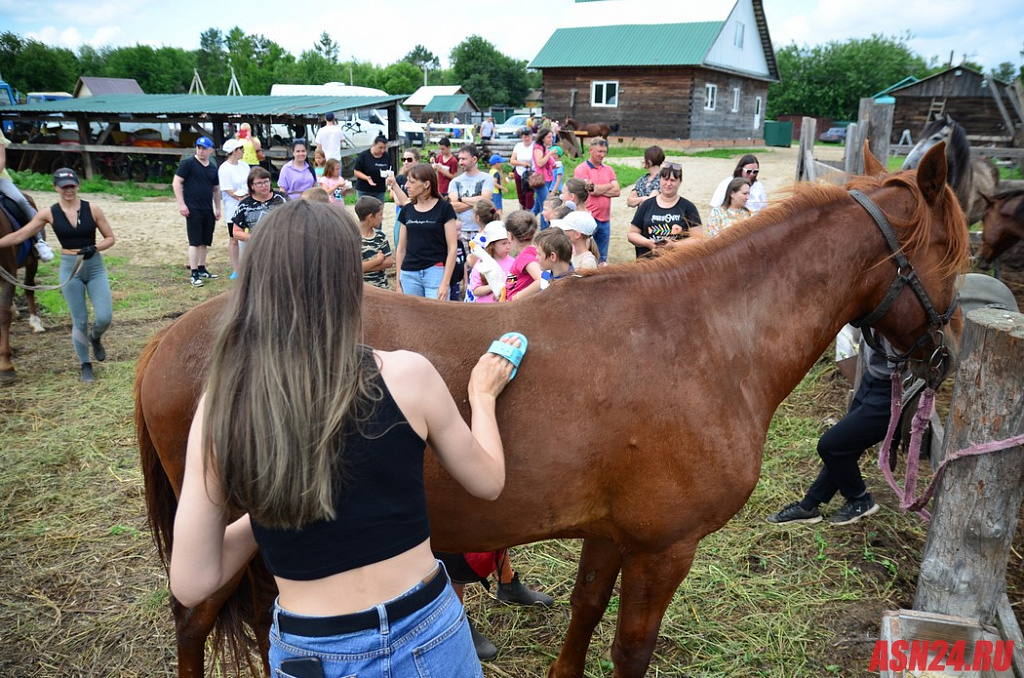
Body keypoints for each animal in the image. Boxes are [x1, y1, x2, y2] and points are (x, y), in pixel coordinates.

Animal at [132, 144, 962, 678]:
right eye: (954, 255)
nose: (946, 357)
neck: (703, 339)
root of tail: (173, 339)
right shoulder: (665, 549)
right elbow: (631, 647)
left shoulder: (611, 533)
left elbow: (585, 612)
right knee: (192, 622)